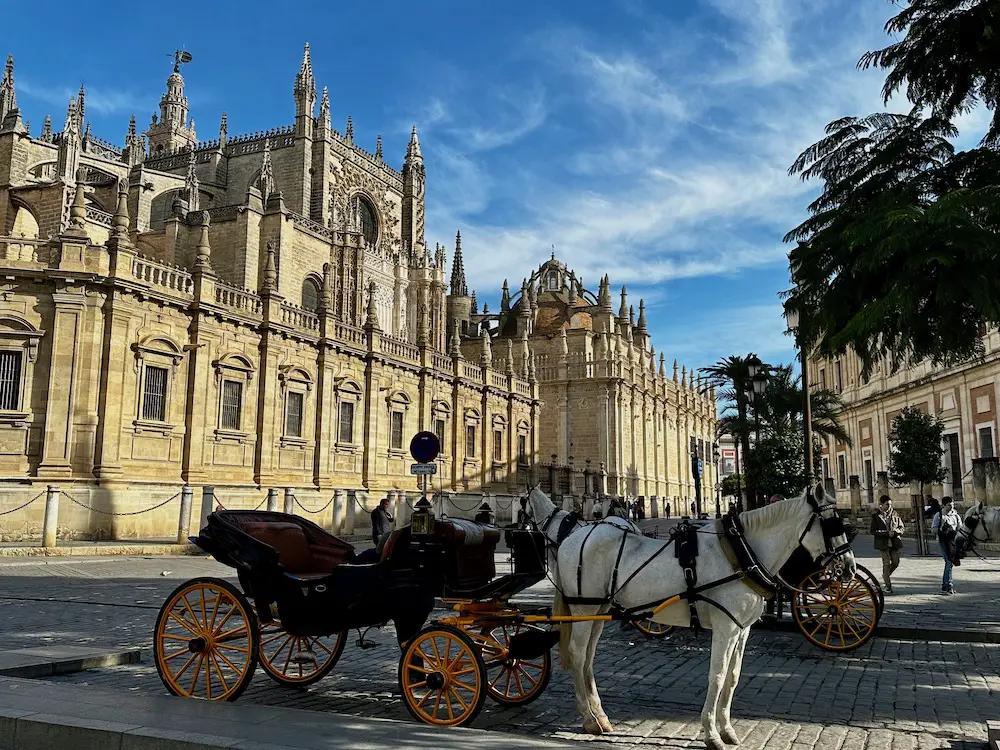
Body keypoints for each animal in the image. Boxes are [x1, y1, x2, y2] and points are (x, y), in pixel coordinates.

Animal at [524, 484, 852, 748]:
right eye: (832, 523)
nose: (849, 566)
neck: (742, 554)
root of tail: (574, 536)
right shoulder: (725, 627)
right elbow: (717, 676)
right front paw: (712, 734)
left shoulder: (741, 629)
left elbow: (733, 677)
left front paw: (727, 729)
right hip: (583, 608)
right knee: (578, 655)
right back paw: (589, 719)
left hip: (599, 610)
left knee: (588, 658)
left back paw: (600, 716)